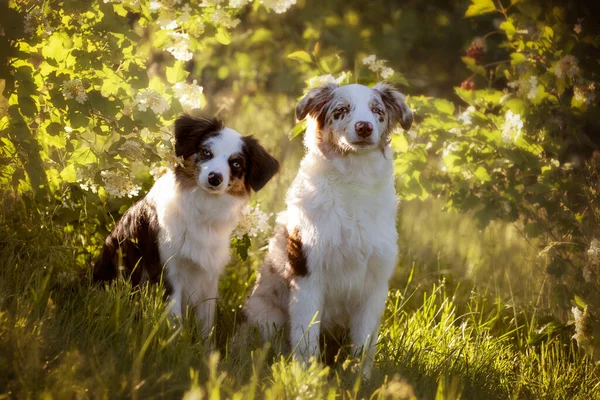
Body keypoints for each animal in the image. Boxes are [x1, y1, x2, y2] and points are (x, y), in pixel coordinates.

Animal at [94, 115, 282, 332]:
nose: (215, 178)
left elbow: (206, 324)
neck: (202, 210)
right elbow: (175, 322)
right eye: (206, 152)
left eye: (235, 163)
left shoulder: (209, 276)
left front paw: (204, 342)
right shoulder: (167, 271)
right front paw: (174, 340)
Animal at [244, 82, 412, 376]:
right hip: (265, 316)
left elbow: (364, 345)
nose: (364, 127)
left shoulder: (375, 284)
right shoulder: (308, 275)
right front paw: (305, 376)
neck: (353, 181)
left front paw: (359, 379)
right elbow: (306, 338)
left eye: (377, 111)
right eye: (341, 110)